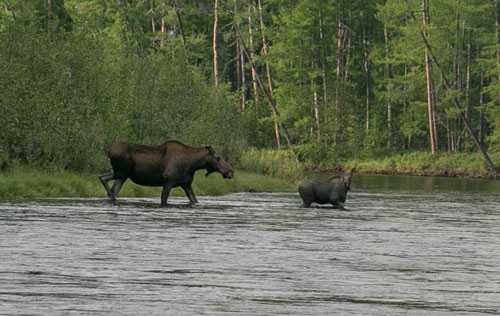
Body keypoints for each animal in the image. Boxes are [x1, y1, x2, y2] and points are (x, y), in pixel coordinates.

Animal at [98, 140, 233, 205]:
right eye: (218, 157)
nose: (230, 171)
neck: (193, 165)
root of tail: (109, 151)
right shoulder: (168, 182)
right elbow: (164, 200)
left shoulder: (186, 184)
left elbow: (194, 200)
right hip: (121, 172)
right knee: (102, 178)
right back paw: (111, 195)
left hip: (122, 175)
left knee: (110, 184)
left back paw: (112, 197)